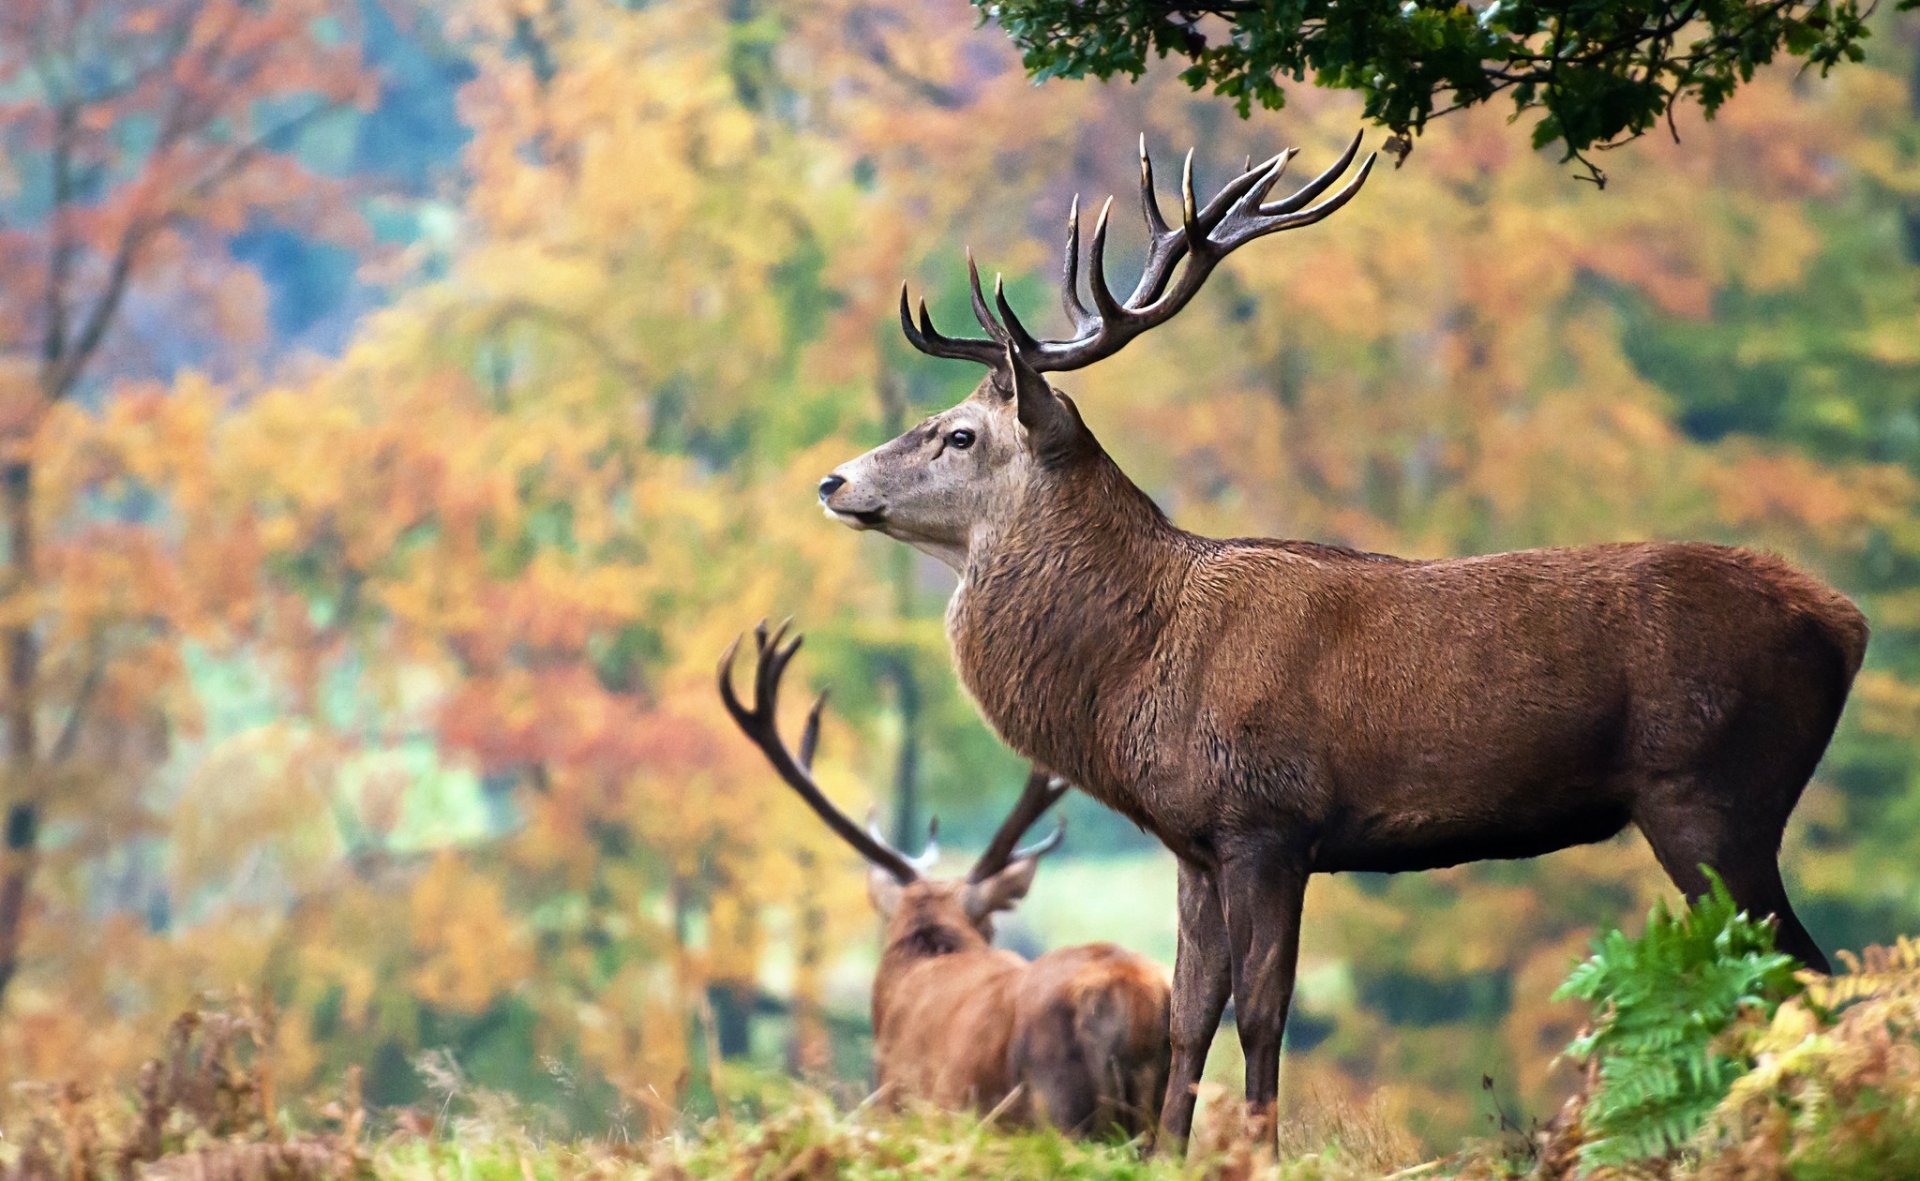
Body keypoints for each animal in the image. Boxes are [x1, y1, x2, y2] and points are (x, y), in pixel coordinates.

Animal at [813, 133, 1871, 1149]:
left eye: (958, 434)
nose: (833, 480)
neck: (1139, 671)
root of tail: (1848, 623)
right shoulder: (1195, 844)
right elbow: (1190, 1014)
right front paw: (1167, 1154)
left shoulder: (1269, 820)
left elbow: (1261, 1014)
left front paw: (1262, 1152)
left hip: (1712, 789)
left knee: (1801, 967)